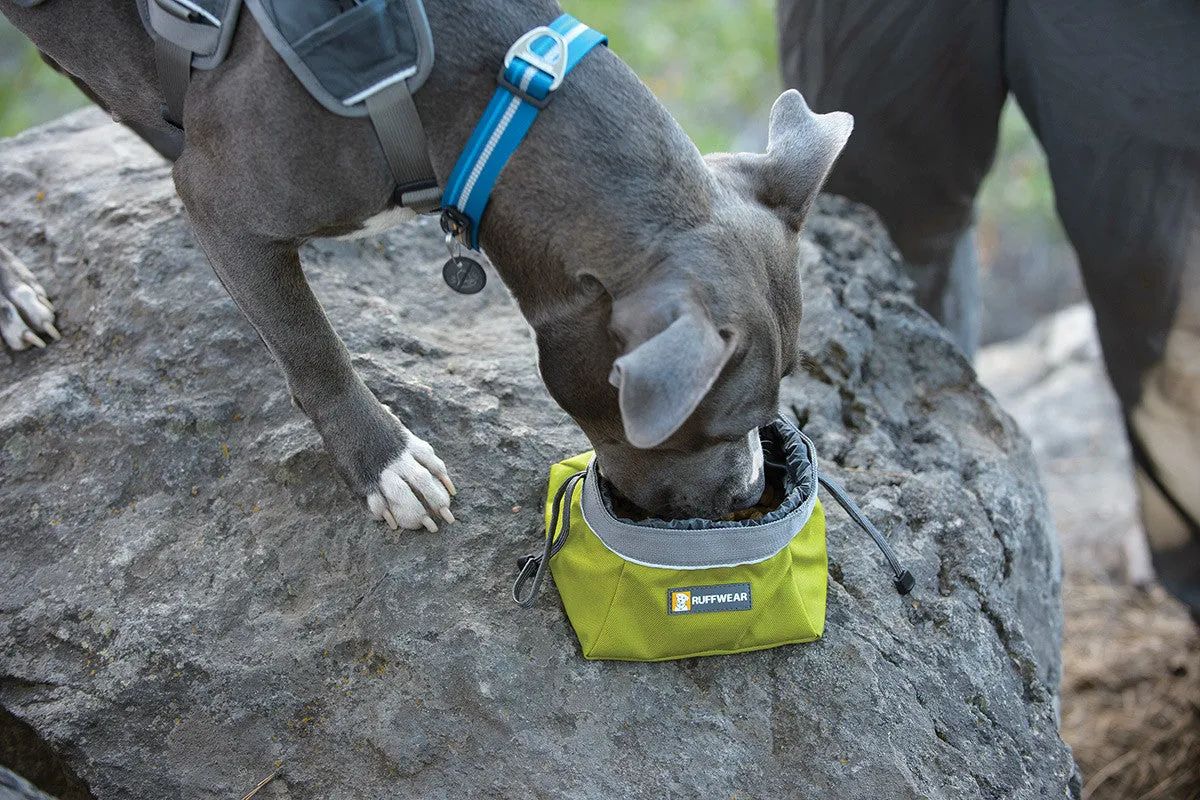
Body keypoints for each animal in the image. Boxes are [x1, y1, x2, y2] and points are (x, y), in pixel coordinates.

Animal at [0, 0, 854, 527]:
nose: (750, 490)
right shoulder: (222, 207)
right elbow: (311, 346)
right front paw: (386, 462)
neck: (501, 101)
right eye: (723, 425)